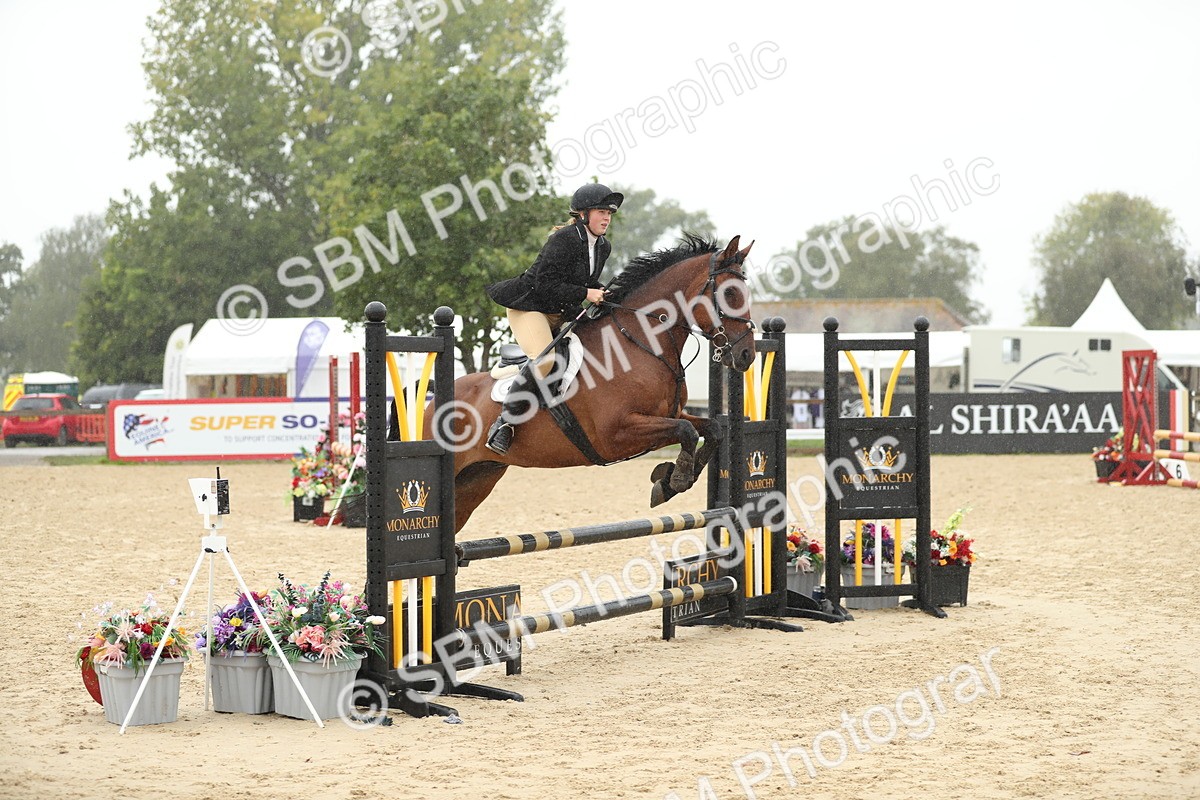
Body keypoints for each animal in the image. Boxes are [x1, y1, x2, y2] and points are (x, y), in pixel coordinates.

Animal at [429, 234, 757, 533]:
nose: (746, 355)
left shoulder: (670, 414)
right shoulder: (615, 433)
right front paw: (673, 480)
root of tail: (433, 402)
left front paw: (667, 481)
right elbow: (686, 431)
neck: (638, 343)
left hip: (478, 477)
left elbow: (710, 429)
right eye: (730, 294)